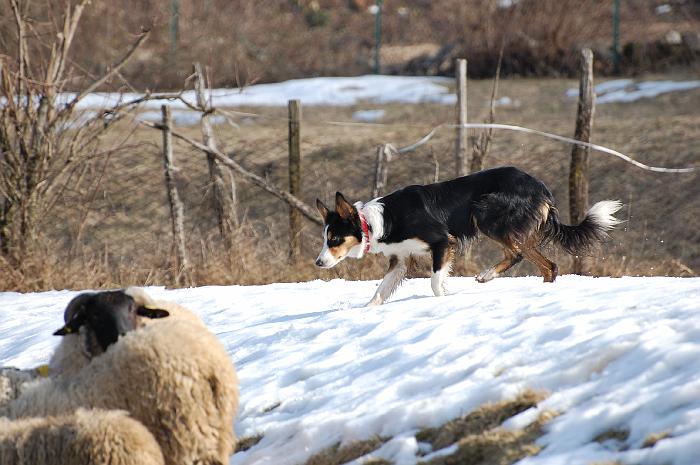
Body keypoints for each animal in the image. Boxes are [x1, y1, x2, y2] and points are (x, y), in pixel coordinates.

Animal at [314, 166, 620, 304]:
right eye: (325, 239)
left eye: (334, 240)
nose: (318, 263)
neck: (378, 221)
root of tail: (541, 187)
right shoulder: (400, 259)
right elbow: (380, 291)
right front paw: (366, 310)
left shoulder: (442, 242)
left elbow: (435, 282)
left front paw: (443, 301)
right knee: (549, 265)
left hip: (485, 213)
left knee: (517, 254)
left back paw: (487, 275)